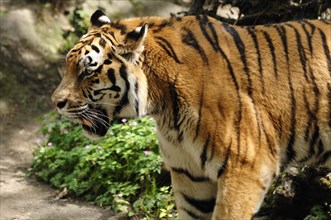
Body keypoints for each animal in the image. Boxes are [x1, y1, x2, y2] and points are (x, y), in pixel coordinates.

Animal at [50, 9, 330, 219]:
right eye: (68, 65)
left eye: (88, 71)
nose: (56, 102)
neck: (163, 105)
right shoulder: (190, 176)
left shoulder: (247, 167)